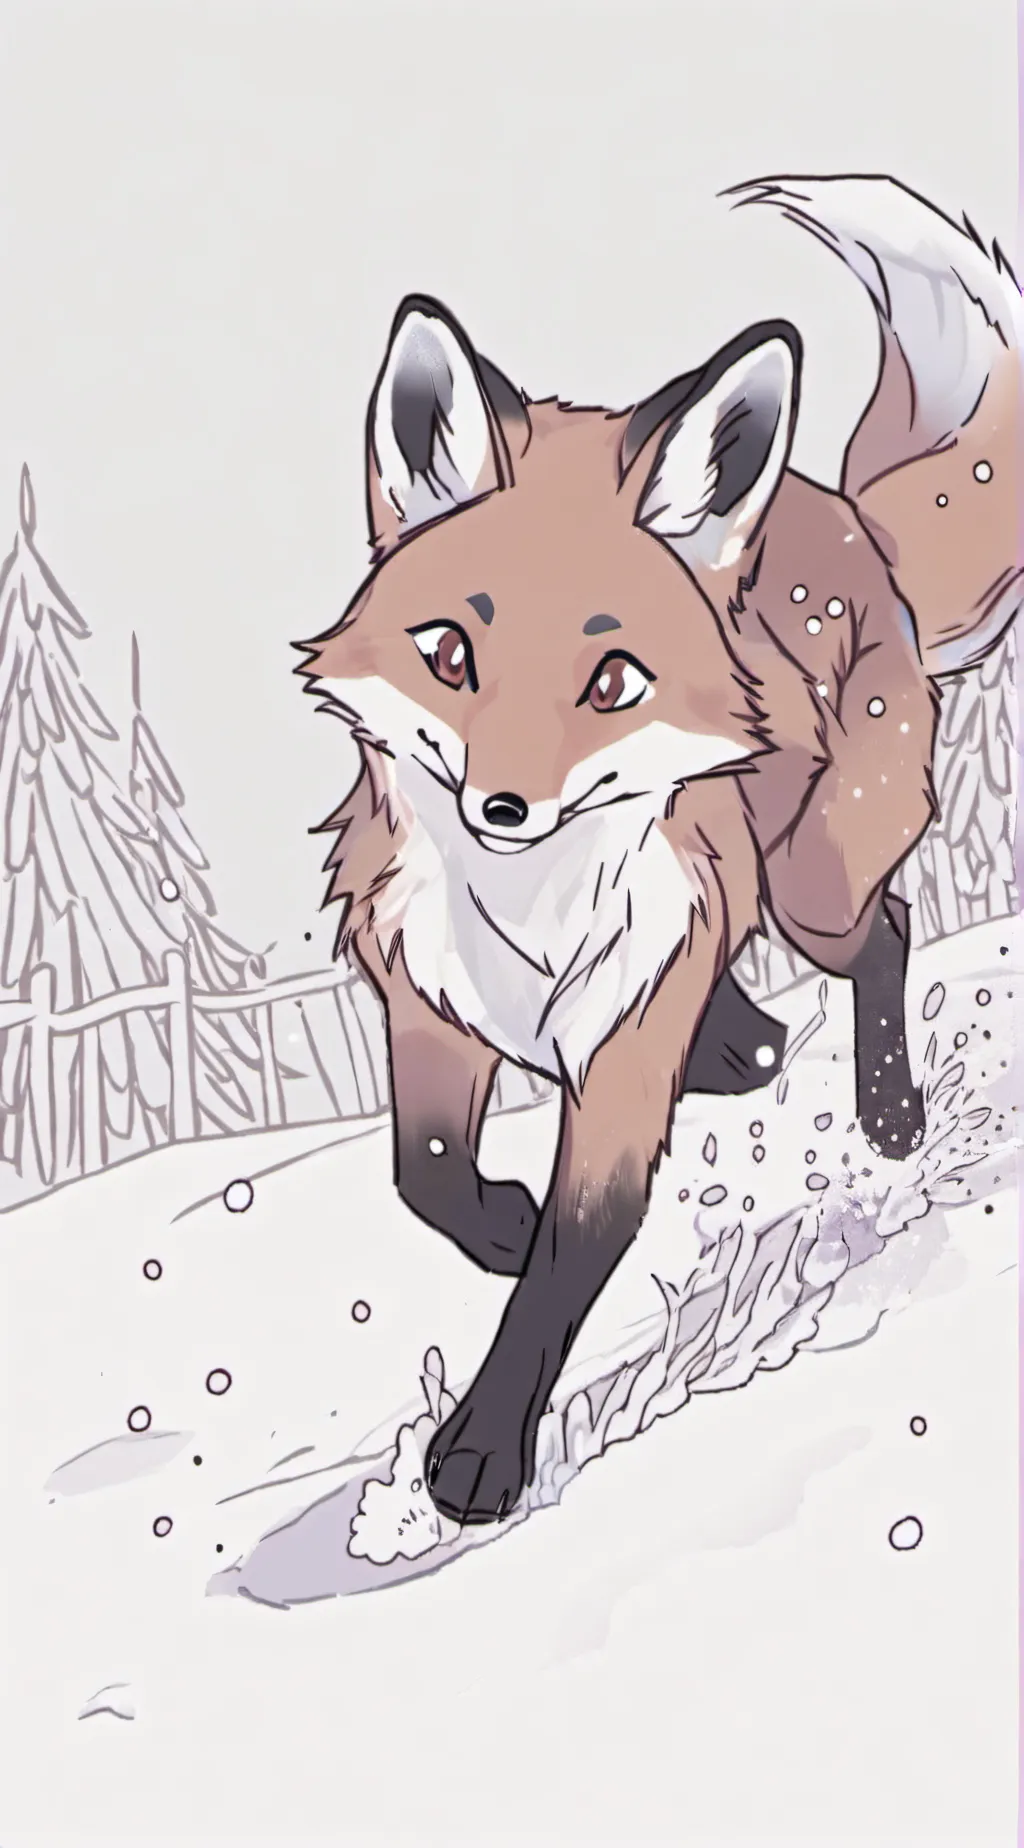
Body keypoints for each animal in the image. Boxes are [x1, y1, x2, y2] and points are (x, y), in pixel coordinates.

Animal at [295, 173, 1023, 1529]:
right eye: (449, 653)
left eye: (613, 679)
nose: (503, 807)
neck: (528, 926)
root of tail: (843, 518)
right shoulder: (426, 1003)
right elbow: (426, 1174)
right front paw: (498, 1223)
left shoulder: (620, 1063)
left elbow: (569, 1260)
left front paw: (481, 1454)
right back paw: (744, 1047)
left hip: (813, 888)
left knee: (884, 933)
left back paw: (887, 1110)